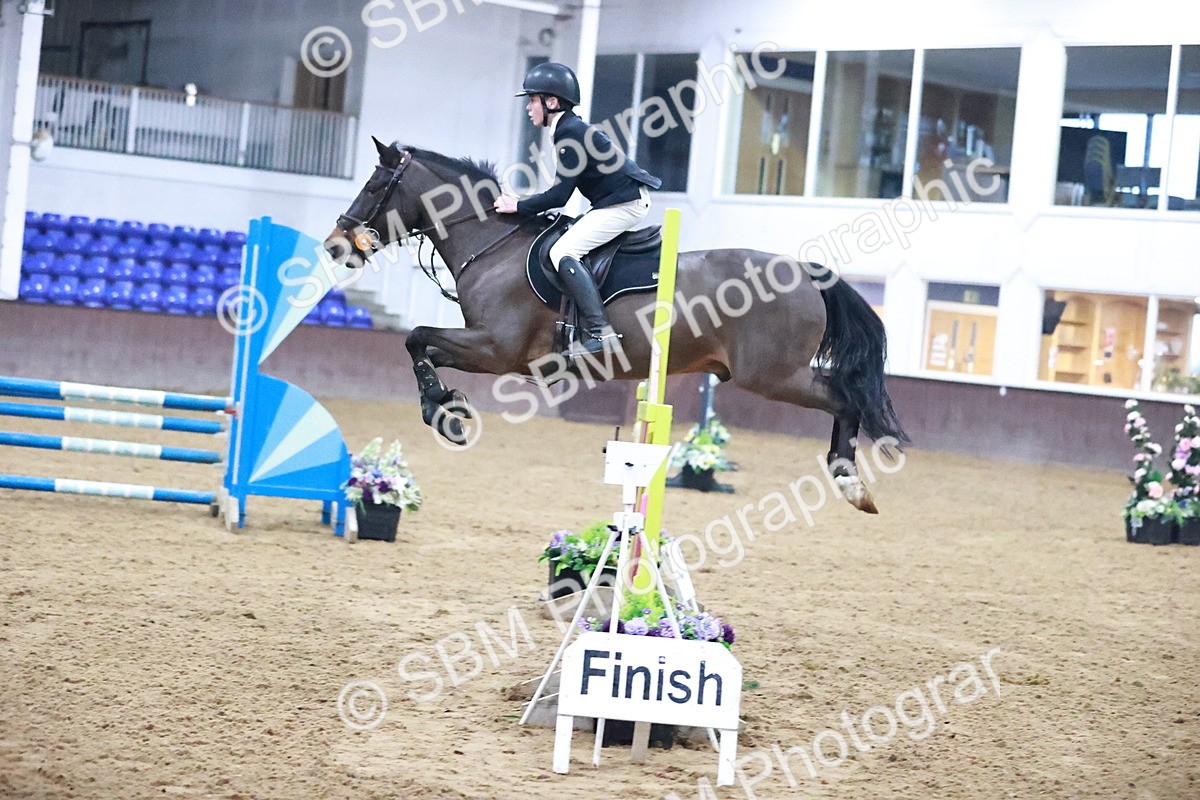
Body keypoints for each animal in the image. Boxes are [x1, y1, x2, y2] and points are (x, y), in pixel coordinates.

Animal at [325, 138, 907, 513]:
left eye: (375, 184)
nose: (333, 246)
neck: (492, 245)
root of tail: (805, 271)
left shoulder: (497, 350)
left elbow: (414, 338)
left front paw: (444, 414)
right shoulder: (486, 349)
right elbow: (421, 346)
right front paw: (447, 405)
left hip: (772, 376)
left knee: (846, 398)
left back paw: (850, 480)